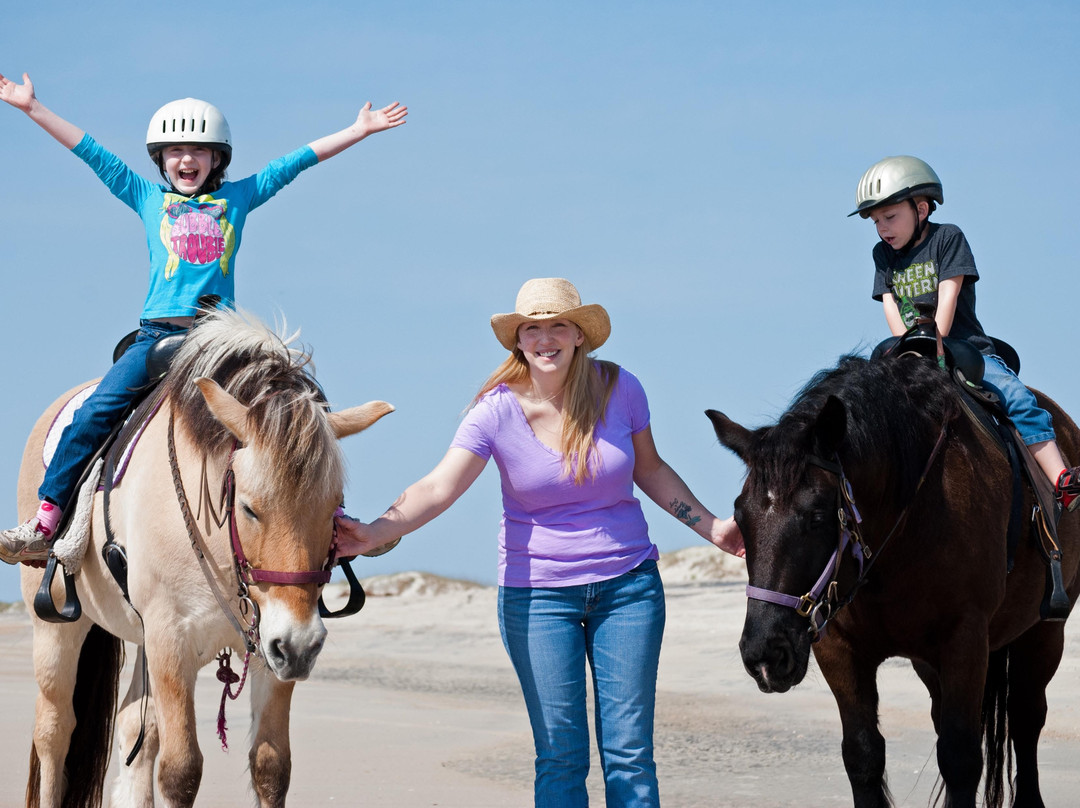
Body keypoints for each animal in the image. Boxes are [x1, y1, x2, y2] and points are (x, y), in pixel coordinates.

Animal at [16, 311, 395, 808]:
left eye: (335, 506)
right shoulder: (170, 640)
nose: (299, 647)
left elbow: (271, 766)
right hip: (57, 626)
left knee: (136, 729)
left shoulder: (270, 646)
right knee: (54, 732)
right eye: (249, 508)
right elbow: (181, 771)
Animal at [708, 354, 1080, 808]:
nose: (765, 654)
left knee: (1026, 719)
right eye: (740, 517)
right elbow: (863, 755)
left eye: (817, 515)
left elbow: (960, 756)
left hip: (1043, 633)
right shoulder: (839, 650)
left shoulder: (966, 642)